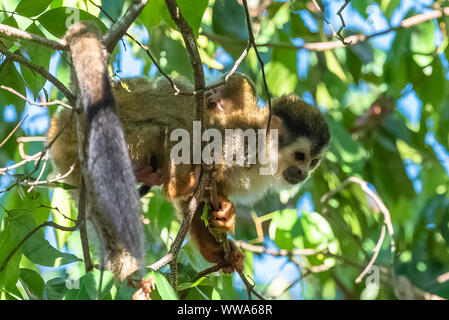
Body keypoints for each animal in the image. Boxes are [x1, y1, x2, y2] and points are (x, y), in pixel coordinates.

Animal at [48, 23, 328, 278]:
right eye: (300, 156)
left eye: (313, 162)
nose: (302, 173)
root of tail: (64, 122)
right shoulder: (242, 142)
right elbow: (197, 138)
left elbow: (195, 203)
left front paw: (221, 239)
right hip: (120, 125)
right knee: (173, 124)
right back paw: (179, 182)